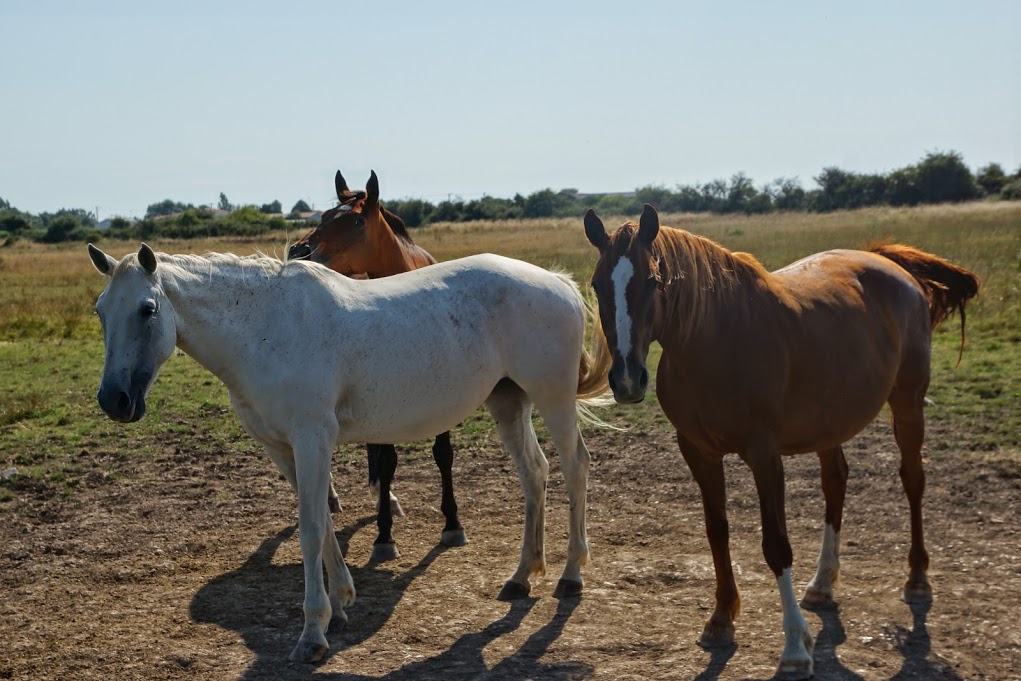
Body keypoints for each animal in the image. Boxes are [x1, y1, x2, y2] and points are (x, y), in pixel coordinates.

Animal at [87, 241, 608, 661]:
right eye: (100, 310)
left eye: (147, 309)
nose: (114, 400)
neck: (267, 329)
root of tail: (556, 281)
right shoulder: (284, 449)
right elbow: (322, 523)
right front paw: (340, 603)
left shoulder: (312, 439)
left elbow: (311, 531)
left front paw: (312, 634)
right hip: (508, 402)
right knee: (535, 473)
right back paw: (522, 576)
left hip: (553, 399)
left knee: (575, 468)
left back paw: (570, 575)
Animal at [285, 167, 465, 563]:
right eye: (322, 216)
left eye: (355, 220)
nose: (298, 251)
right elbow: (386, 460)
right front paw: (384, 536)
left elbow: (442, 454)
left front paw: (452, 524)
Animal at [584, 205, 980, 677]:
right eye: (597, 284)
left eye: (651, 280)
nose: (627, 379)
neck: (714, 340)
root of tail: (888, 264)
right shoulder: (698, 452)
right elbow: (717, 532)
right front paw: (721, 619)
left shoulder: (764, 455)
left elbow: (776, 545)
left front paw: (794, 646)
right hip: (832, 422)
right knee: (836, 482)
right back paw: (823, 583)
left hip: (908, 401)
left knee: (913, 479)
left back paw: (917, 579)